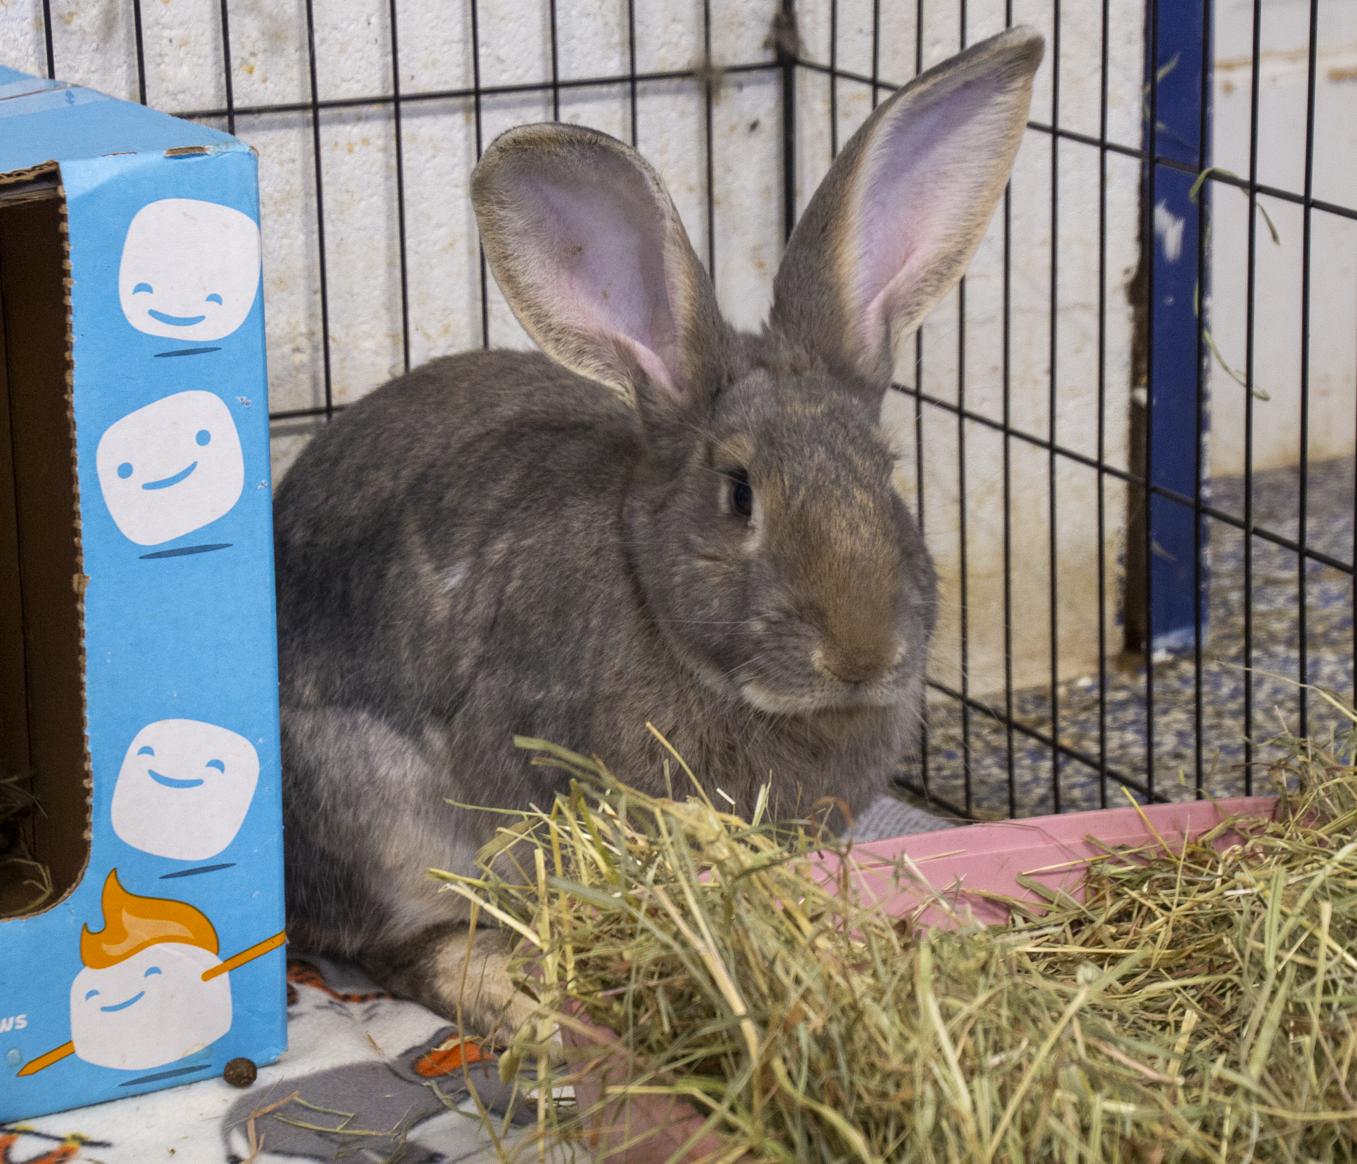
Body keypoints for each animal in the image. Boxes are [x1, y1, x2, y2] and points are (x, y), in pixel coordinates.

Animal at [273, 26, 1044, 1038]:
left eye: (885, 475)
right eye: (739, 494)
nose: (861, 655)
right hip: (381, 822)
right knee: (408, 948)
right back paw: (523, 1010)